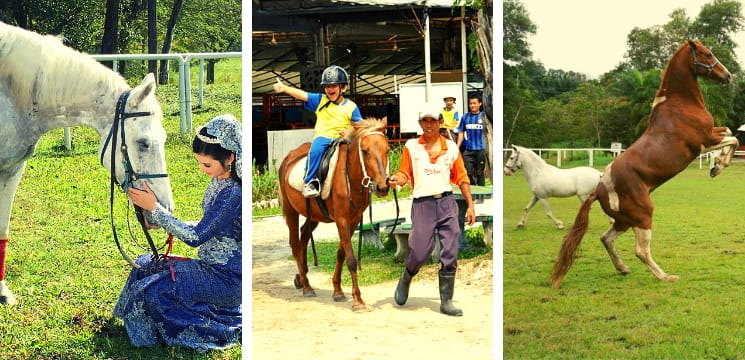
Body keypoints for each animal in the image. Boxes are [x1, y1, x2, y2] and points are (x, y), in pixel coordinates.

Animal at [0, 22, 174, 304]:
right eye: (144, 143)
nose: (165, 209)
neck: (11, 94)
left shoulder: (12, 170)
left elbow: (2, 230)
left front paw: (2, 292)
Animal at [278, 116, 392, 310]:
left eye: (387, 149)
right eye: (365, 151)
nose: (382, 186)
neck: (351, 177)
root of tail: (288, 158)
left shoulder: (353, 220)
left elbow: (341, 254)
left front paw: (338, 291)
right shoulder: (342, 219)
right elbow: (351, 259)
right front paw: (357, 300)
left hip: (313, 215)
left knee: (303, 236)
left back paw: (301, 278)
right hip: (290, 209)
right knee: (294, 243)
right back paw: (306, 286)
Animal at [548, 39, 736, 288]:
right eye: (707, 53)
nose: (728, 76)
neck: (679, 105)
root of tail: (599, 189)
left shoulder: (712, 134)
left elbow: (730, 132)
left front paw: (716, 166)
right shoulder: (703, 143)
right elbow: (733, 139)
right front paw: (718, 166)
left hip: (624, 221)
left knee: (606, 238)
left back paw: (623, 268)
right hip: (643, 215)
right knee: (640, 250)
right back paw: (665, 276)